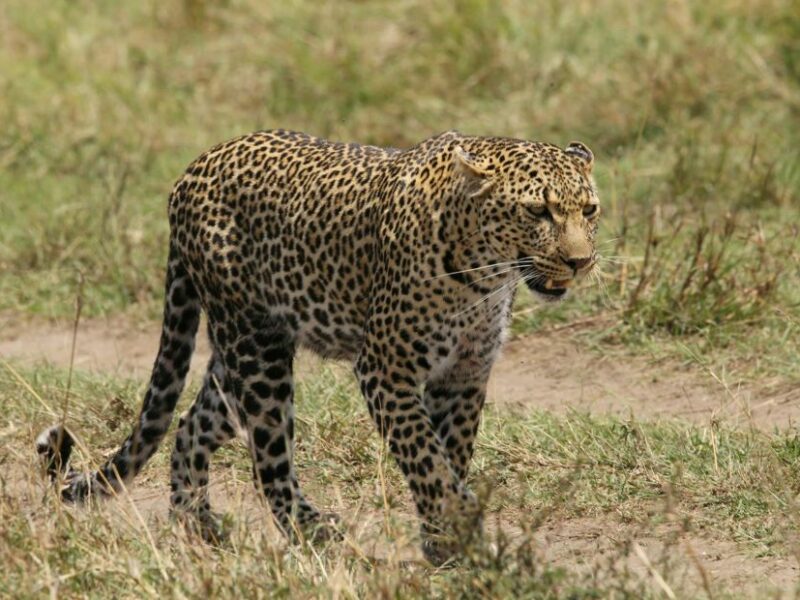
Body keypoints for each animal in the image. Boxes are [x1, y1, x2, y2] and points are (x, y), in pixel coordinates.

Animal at [36, 128, 600, 564]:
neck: (485, 276)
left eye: (590, 209)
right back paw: (311, 531)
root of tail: (192, 169)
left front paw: (444, 541)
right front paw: (459, 526)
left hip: (240, 354)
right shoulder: (385, 371)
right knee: (268, 461)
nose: (580, 262)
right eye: (538, 211)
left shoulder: (464, 374)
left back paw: (196, 527)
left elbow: (450, 455)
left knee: (192, 423)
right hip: (257, 351)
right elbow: (427, 459)